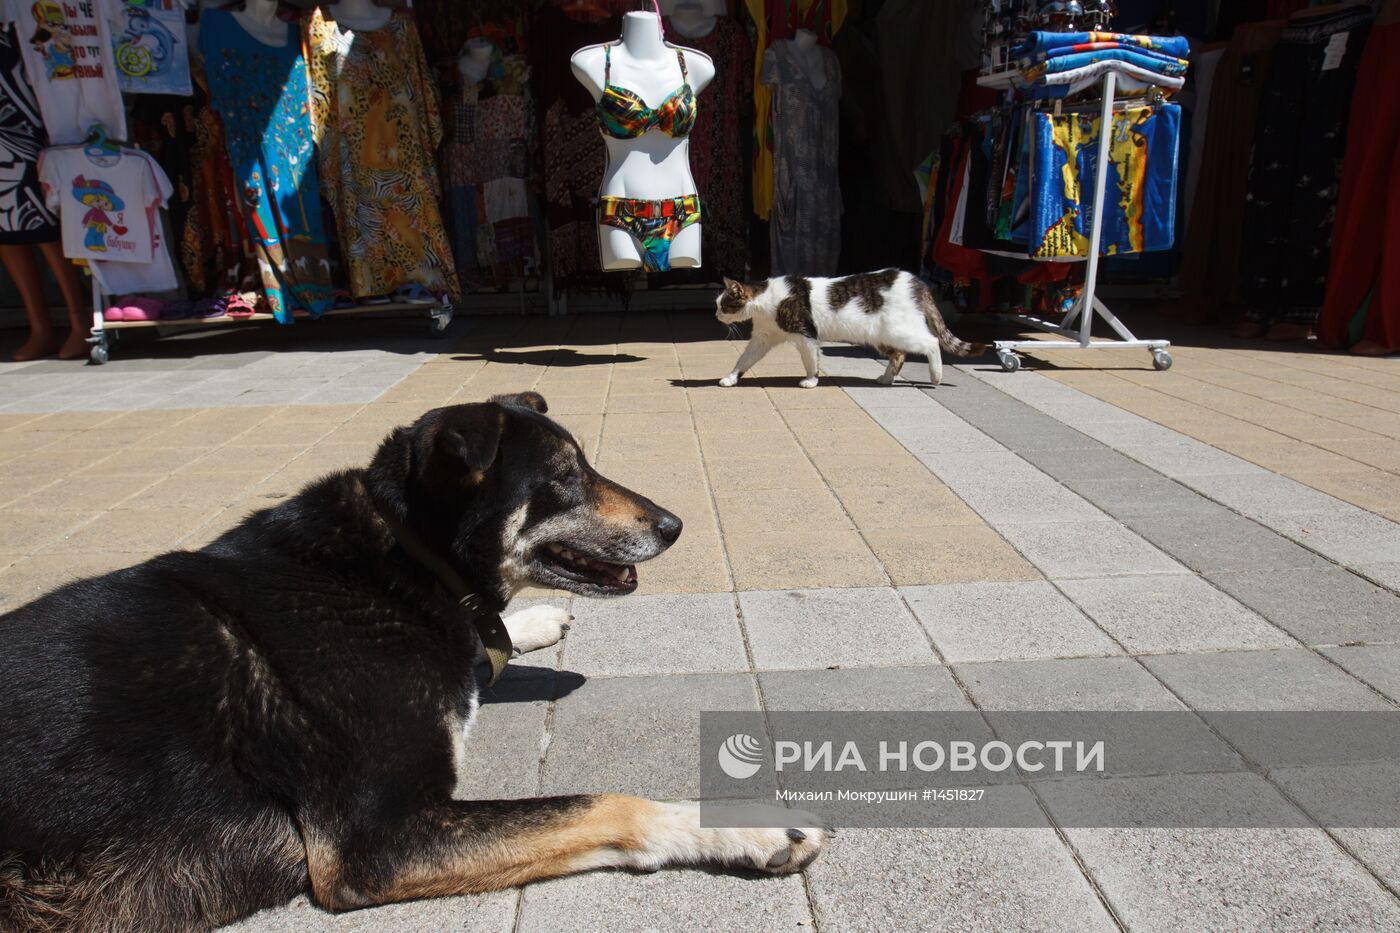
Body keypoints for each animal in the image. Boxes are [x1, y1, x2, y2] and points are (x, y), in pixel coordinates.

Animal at [0, 392, 823, 930]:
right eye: (564, 477)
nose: (675, 525)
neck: (404, 558)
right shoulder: (375, 840)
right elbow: (604, 803)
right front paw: (750, 829)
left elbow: (487, 641)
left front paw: (523, 623)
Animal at [711, 267, 985, 386]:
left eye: (724, 305)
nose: (716, 315)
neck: (766, 300)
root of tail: (916, 281)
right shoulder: (763, 339)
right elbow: (744, 360)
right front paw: (730, 378)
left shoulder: (806, 336)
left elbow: (811, 361)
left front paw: (811, 381)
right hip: (881, 338)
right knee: (899, 355)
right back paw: (886, 379)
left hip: (900, 332)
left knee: (931, 342)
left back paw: (936, 375)